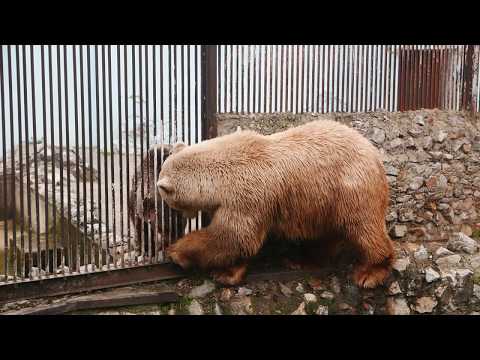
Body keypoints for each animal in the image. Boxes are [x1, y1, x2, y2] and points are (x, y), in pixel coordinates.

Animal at [158, 119, 394, 288]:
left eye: (166, 197)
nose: (182, 216)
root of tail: (375, 155)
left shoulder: (247, 197)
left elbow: (233, 236)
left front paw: (177, 253)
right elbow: (238, 241)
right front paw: (228, 272)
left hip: (351, 189)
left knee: (363, 229)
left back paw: (370, 272)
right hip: (324, 203)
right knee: (326, 235)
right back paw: (302, 259)